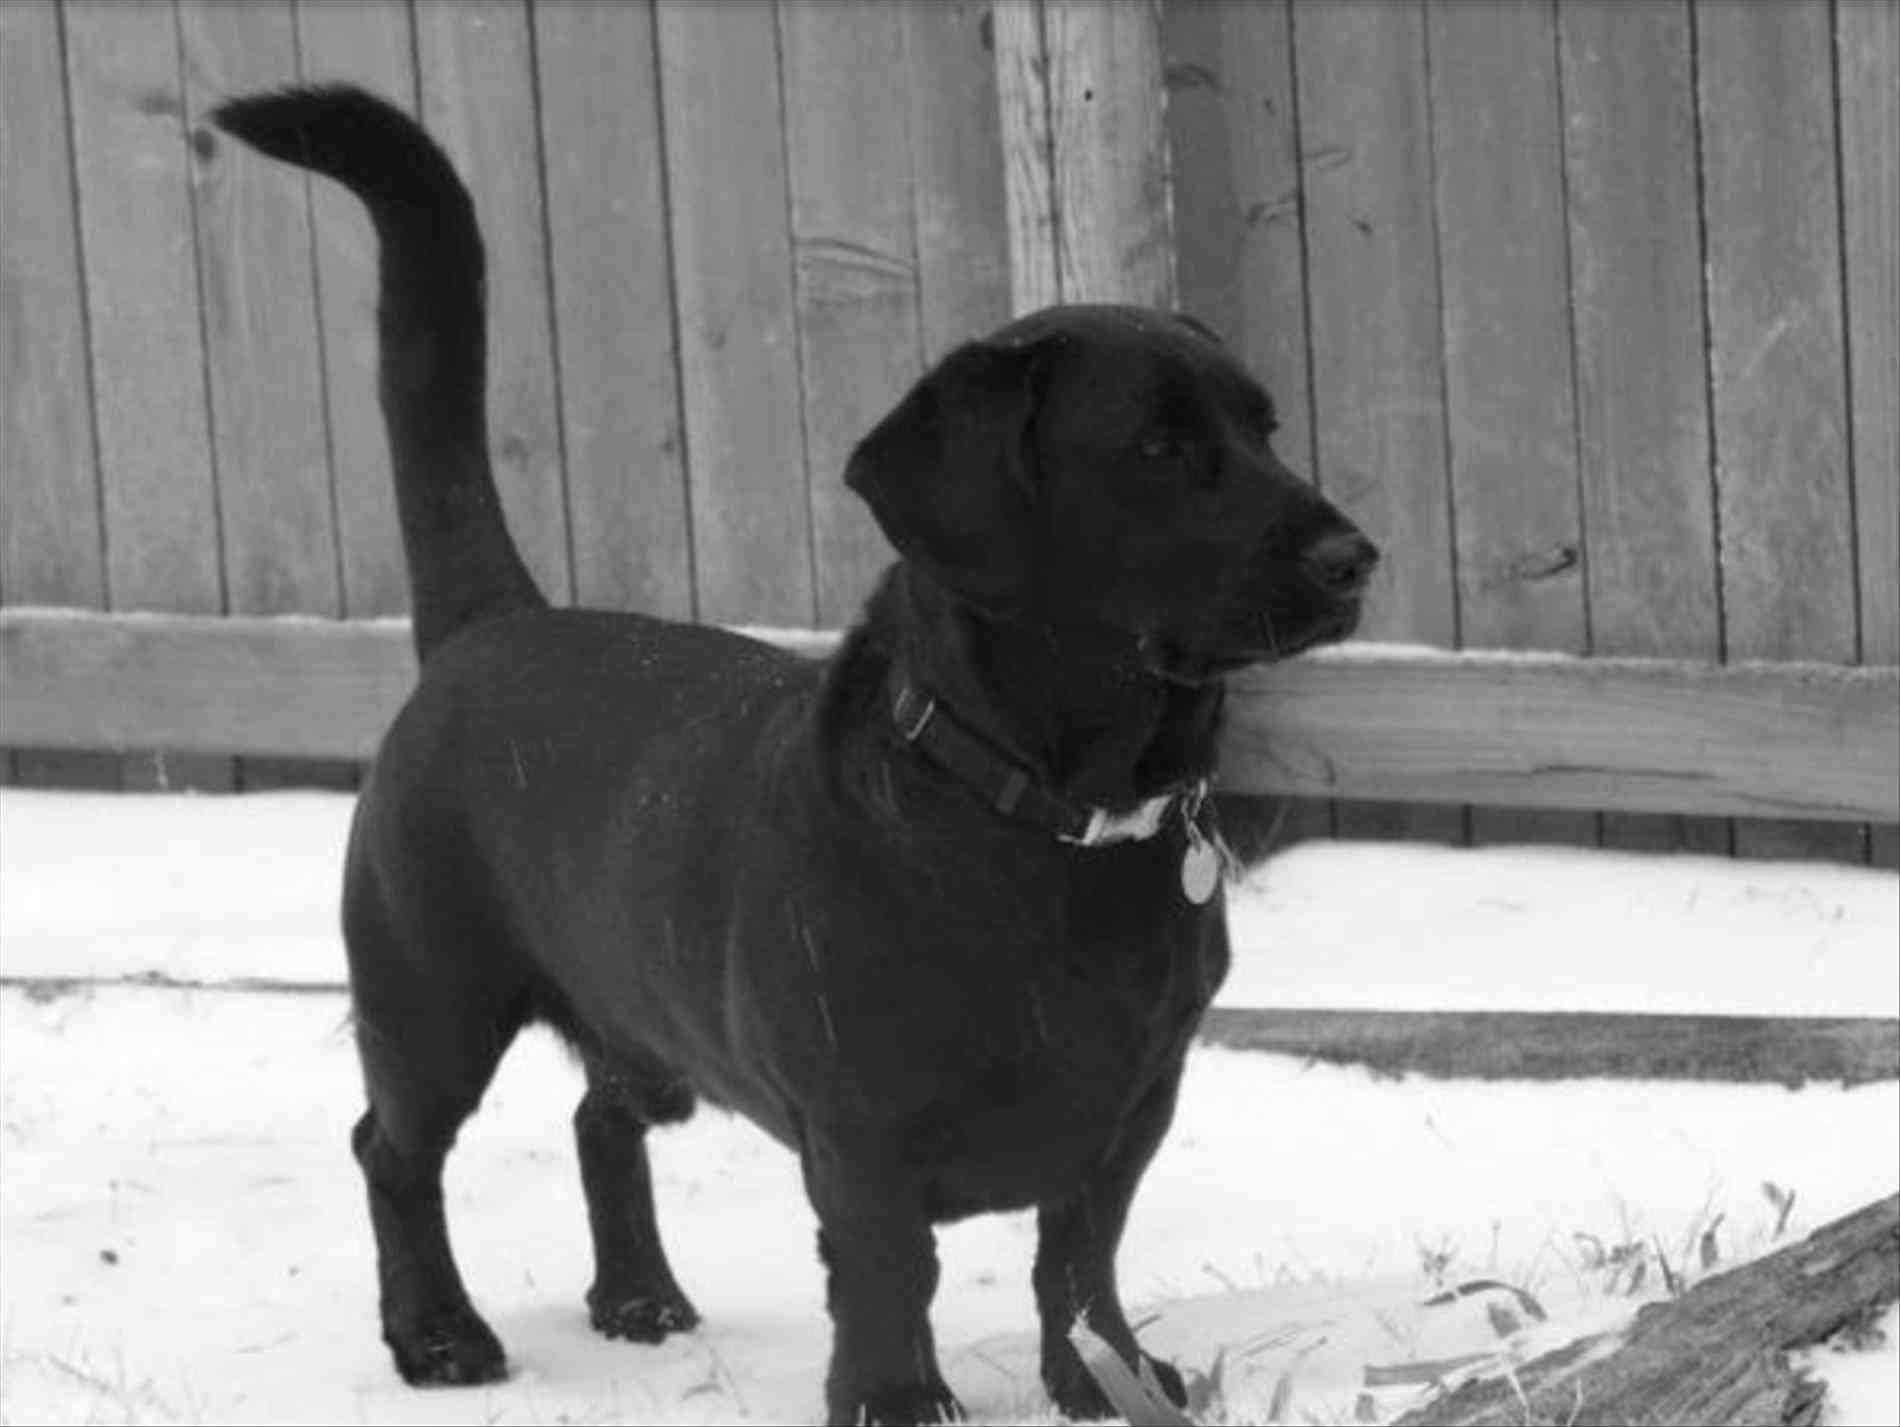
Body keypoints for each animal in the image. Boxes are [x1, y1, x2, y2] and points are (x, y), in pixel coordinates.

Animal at [215, 83, 1375, 1421]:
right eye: (1155, 448)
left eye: (1264, 429)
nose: (1354, 556)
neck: (1045, 818)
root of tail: (491, 619)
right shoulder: (860, 1125)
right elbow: (889, 1271)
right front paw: (895, 1399)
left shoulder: (1136, 1097)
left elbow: (1079, 1256)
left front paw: (1110, 1378)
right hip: (429, 995)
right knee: (391, 1149)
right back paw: (438, 1333)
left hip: (637, 1011)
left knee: (599, 1119)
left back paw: (638, 1296)